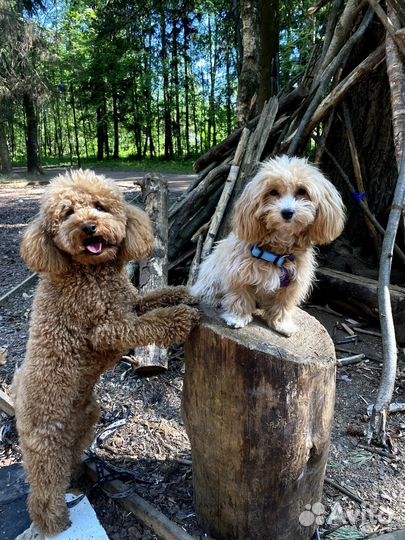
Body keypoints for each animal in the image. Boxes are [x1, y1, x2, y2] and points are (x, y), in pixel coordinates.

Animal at [11, 170, 197, 536]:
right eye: (67, 213)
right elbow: (151, 322)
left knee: (70, 457)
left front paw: (183, 294)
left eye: (100, 206)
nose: (89, 227)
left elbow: (154, 299)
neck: (90, 271)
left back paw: (76, 477)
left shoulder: (129, 303)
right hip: (45, 444)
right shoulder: (109, 329)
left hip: (85, 422)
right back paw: (54, 521)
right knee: (43, 490)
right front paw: (181, 316)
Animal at [192, 154, 344, 336]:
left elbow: (283, 304)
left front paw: (282, 324)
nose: (287, 212)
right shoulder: (239, 274)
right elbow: (240, 297)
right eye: (273, 192)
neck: (278, 254)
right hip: (211, 276)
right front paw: (237, 318)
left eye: (302, 191)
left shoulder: (292, 283)